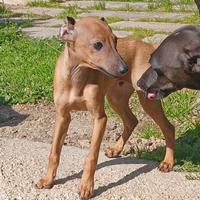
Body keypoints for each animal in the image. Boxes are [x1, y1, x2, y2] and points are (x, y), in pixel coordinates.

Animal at [36, 17, 175, 200]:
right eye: (97, 45)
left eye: (115, 41)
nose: (125, 69)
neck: (76, 77)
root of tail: (149, 47)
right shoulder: (62, 116)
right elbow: (54, 153)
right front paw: (48, 180)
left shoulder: (100, 118)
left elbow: (91, 156)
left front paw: (86, 186)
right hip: (116, 98)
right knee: (131, 121)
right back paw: (116, 149)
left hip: (147, 99)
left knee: (168, 127)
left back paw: (168, 162)